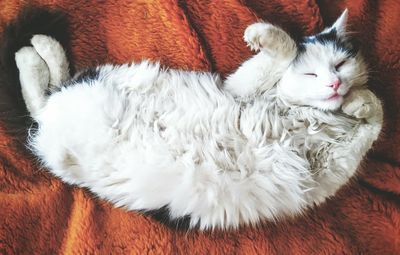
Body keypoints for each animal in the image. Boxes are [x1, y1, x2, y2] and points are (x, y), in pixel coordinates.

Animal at [10, 8, 382, 230]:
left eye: (340, 65)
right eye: (310, 73)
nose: (334, 84)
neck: (307, 118)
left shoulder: (330, 169)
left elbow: (375, 119)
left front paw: (357, 102)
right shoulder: (239, 90)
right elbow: (287, 49)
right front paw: (264, 36)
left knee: (46, 94)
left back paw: (37, 48)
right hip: (92, 98)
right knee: (41, 95)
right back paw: (34, 49)